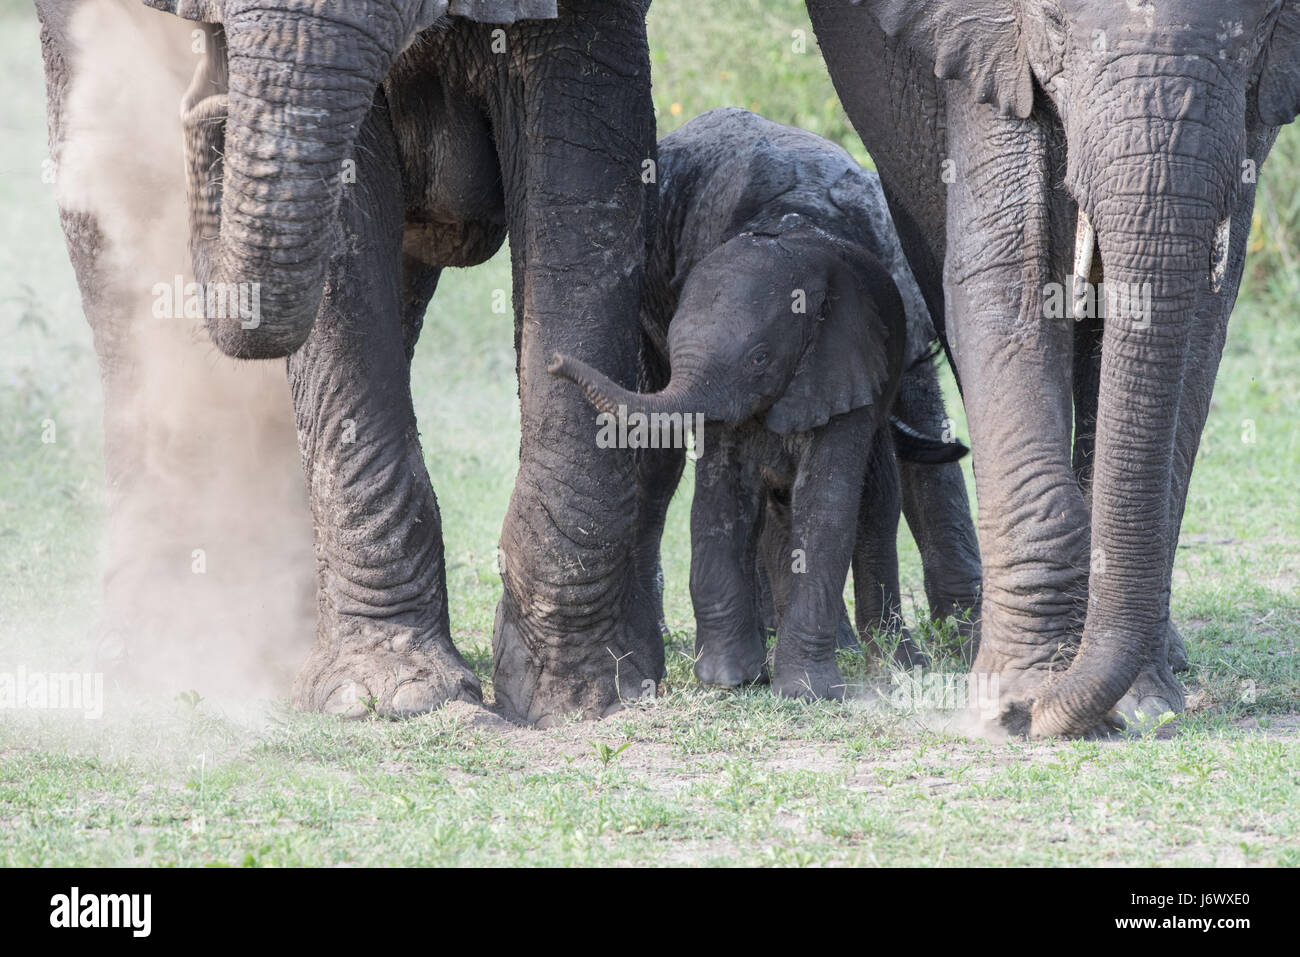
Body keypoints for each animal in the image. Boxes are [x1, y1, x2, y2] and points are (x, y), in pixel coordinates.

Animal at [39, 0, 660, 717]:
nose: (211, 102)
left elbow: (586, 201)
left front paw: (587, 694)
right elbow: (346, 245)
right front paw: (390, 696)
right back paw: (159, 653)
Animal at [548, 108, 956, 696]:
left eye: (762, 358)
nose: (556, 361)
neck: (802, 227)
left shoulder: (867, 339)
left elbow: (837, 492)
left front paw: (811, 686)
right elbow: (731, 487)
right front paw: (734, 677)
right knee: (661, 467)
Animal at [806, 0, 1300, 738]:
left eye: (1258, 31)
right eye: (1054, 23)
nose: (1035, 716)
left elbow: (1204, 312)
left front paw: (1137, 700)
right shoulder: (990, 49)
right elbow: (1004, 275)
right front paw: (1016, 700)